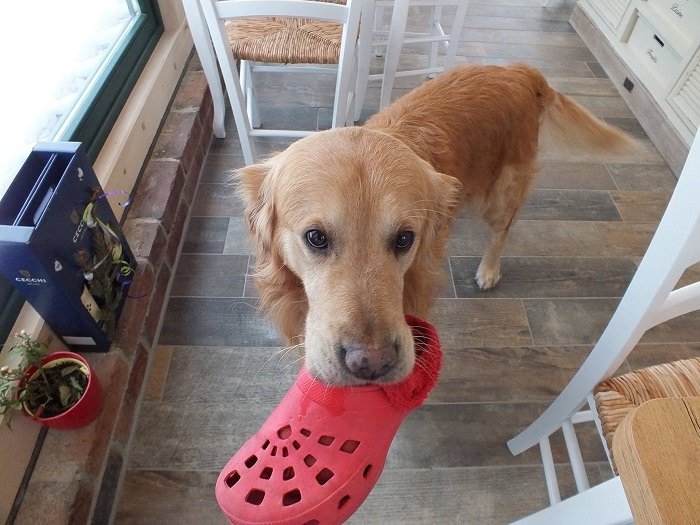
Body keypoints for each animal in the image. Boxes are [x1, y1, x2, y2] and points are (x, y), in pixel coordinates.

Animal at [237, 64, 636, 384]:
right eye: (315, 237)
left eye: (404, 239)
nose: (372, 363)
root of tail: (518, 71)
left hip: (500, 194)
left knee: (502, 229)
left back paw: (489, 270)